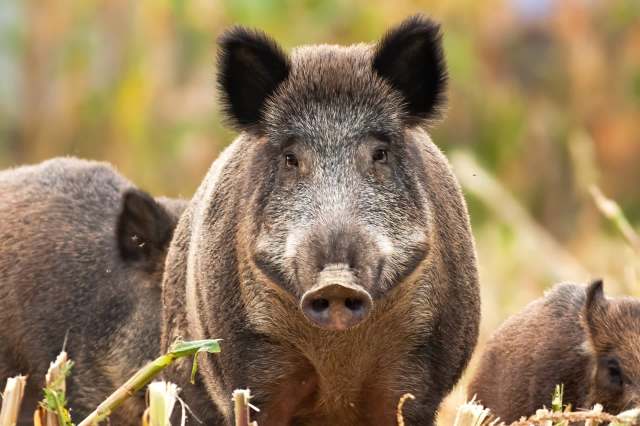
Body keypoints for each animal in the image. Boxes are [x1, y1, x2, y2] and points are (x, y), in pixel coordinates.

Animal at [161, 15, 480, 426]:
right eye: (290, 158)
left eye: (379, 153)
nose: (336, 282)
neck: (337, 361)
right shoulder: (251, 368)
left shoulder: (420, 370)